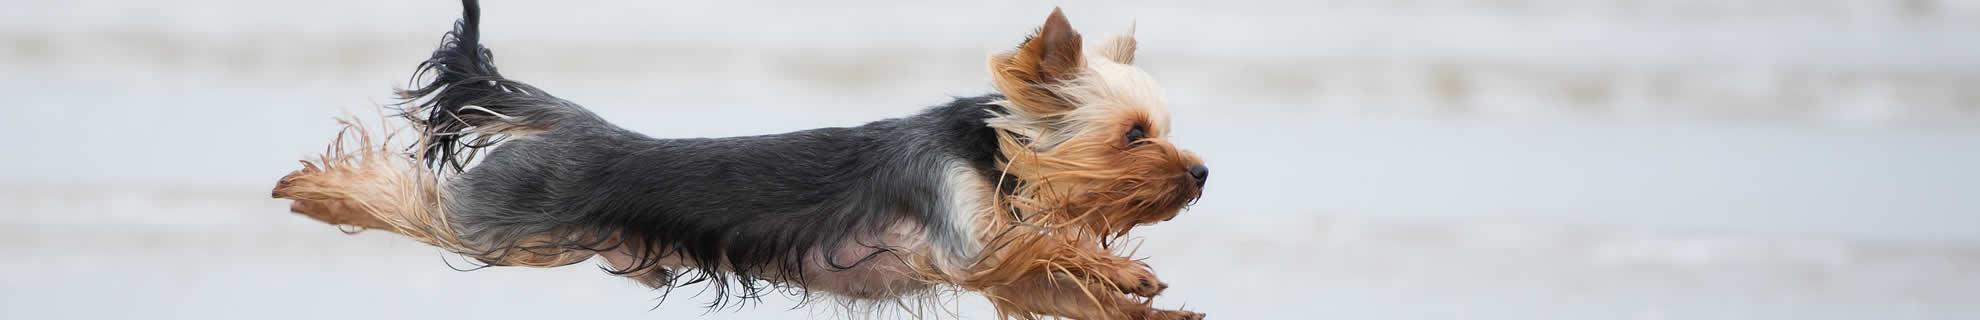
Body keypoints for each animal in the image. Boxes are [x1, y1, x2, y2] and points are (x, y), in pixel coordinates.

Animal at [271, 1, 1203, 318]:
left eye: (1159, 129)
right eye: (1135, 135)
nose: (1200, 173)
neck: (993, 151)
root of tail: (582, 129)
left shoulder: (992, 270)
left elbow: (1061, 283)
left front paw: (1152, 307)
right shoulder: (970, 245)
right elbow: (1050, 243)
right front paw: (1128, 273)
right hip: (500, 223)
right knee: (418, 198)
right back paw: (315, 190)